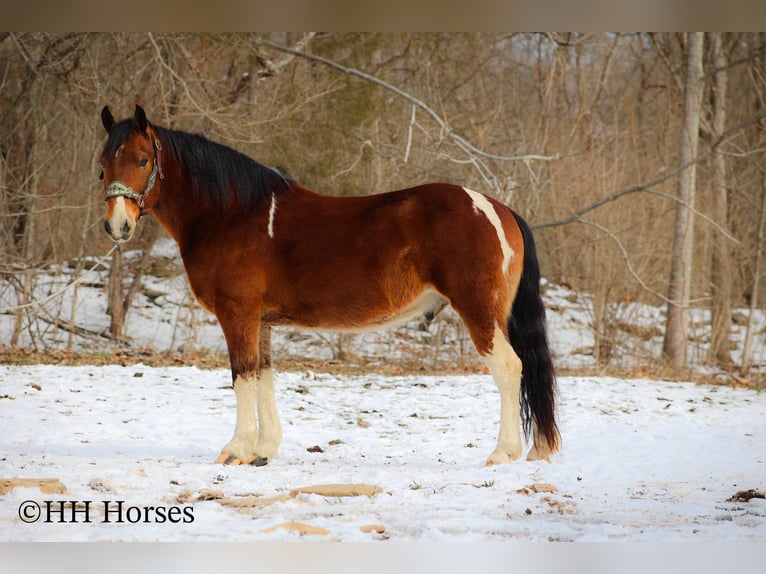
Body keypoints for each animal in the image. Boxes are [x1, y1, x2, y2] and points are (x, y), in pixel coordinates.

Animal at [98, 104, 560, 467]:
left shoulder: (238, 314)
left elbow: (242, 375)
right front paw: (263, 450)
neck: (231, 215)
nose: (117, 226)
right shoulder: (262, 321)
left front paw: (236, 450)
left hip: (479, 310)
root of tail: (496, 207)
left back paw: (502, 453)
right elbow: (263, 375)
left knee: (508, 367)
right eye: (103, 163)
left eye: (142, 160)